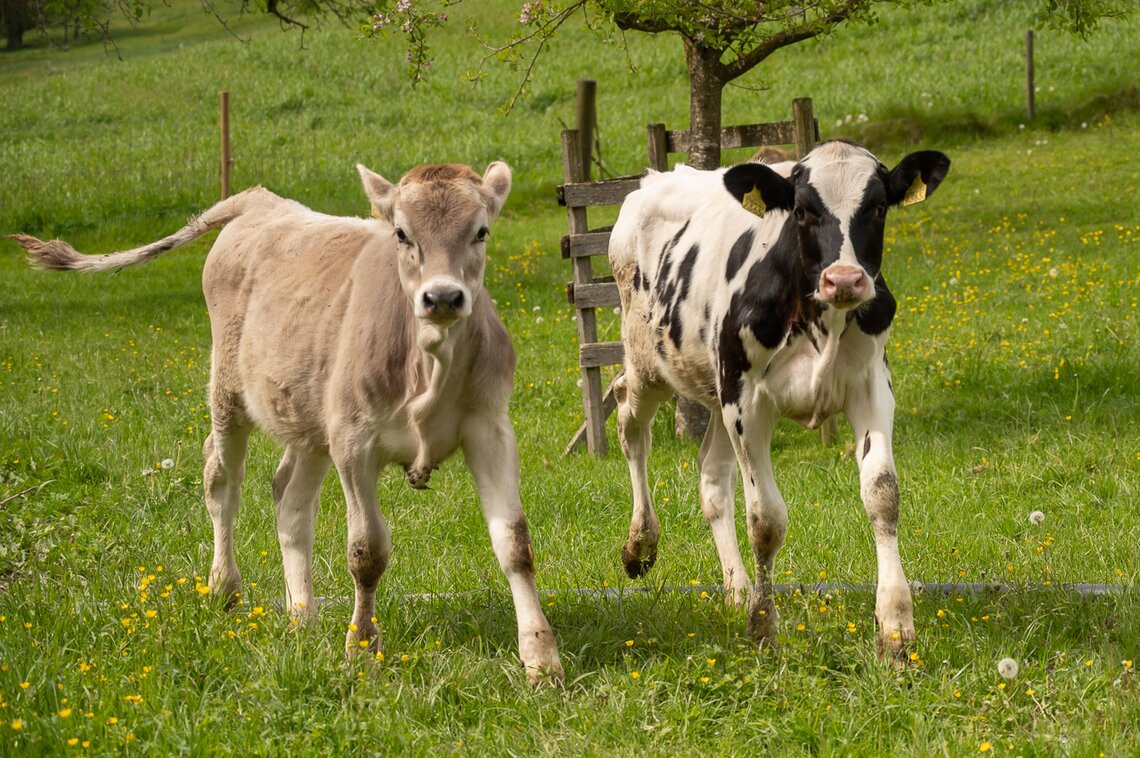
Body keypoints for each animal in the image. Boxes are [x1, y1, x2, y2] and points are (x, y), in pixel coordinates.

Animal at [611, 140, 948, 651]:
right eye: (803, 211)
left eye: (878, 207)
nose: (844, 279)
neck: (820, 318)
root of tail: (654, 178)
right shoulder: (747, 401)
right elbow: (766, 520)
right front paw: (764, 626)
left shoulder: (871, 385)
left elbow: (882, 494)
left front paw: (895, 625)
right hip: (651, 365)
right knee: (628, 422)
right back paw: (640, 544)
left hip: (715, 390)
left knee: (712, 476)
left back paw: (736, 590)